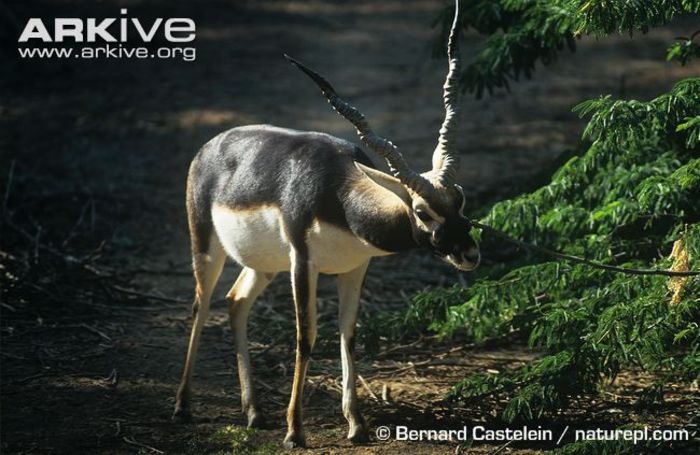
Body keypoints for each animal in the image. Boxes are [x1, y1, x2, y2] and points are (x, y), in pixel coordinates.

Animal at [175, 0, 482, 448]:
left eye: (460, 198)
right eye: (423, 211)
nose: (469, 253)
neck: (340, 197)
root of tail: (211, 145)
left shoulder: (355, 267)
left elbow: (348, 334)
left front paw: (356, 424)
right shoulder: (304, 264)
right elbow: (306, 337)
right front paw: (295, 431)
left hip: (264, 265)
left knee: (235, 302)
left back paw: (253, 413)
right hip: (207, 246)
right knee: (200, 305)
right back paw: (183, 406)